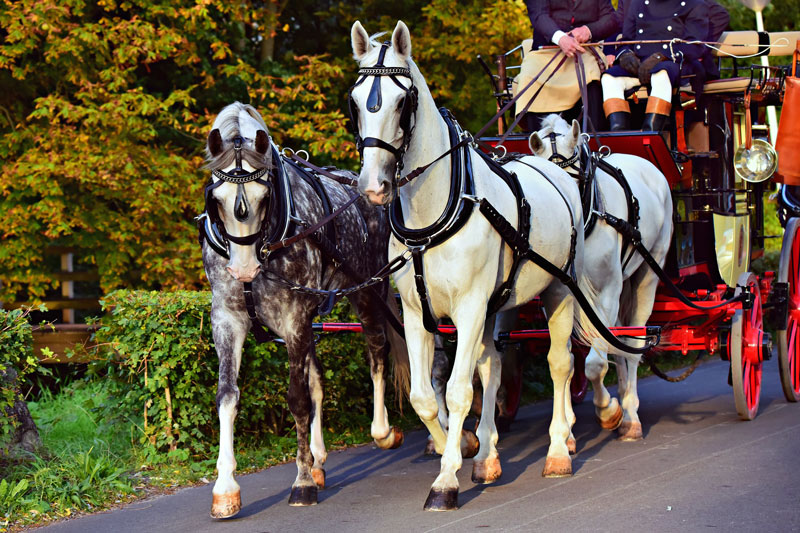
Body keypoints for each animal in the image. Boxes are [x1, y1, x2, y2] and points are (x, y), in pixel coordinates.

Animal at [199, 102, 409, 518]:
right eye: (217, 201)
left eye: (264, 198)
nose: (243, 269)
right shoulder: (227, 319)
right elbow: (228, 396)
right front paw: (226, 488)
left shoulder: (293, 316)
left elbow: (297, 398)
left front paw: (301, 482)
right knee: (318, 381)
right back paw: (318, 460)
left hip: (369, 291)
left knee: (377, 353)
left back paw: (382, 431)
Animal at [350, 21, 599, 510]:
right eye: (355, 100)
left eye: (402, 102)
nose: (373, 185)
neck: (433, 215)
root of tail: (552, 167)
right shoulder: (418, 313)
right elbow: (427, 396)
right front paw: (462, 445)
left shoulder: (467, 308)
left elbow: (459, 390)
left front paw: (446, 480)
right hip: (498, 304)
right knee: (493, 366)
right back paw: (487, 456)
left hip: (559, 290)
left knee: (560, 364)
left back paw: (559, 448)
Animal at [529, 114, 673, 440]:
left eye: (574, 181)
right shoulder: (559, 295)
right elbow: (568, 357)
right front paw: (568, 428)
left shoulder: (607, 292)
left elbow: (595, 364)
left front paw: (609, 410)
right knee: (618, 343)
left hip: (648, 274)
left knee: (632, 342)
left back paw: (630, 416)